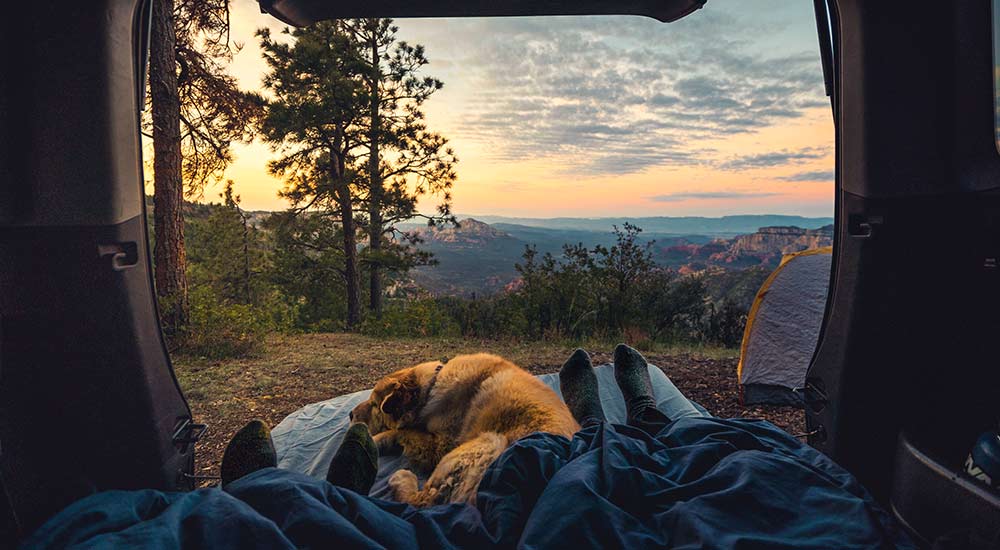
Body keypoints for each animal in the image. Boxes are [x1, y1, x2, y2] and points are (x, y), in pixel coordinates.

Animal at [350, 356, 580, 506]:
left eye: (374, 405)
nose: (350, 414)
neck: (431, 387)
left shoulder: (441, 445)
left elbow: (402, 432)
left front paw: (374, 439)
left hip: (486, 442)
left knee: (423, 502)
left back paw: (402, 479)